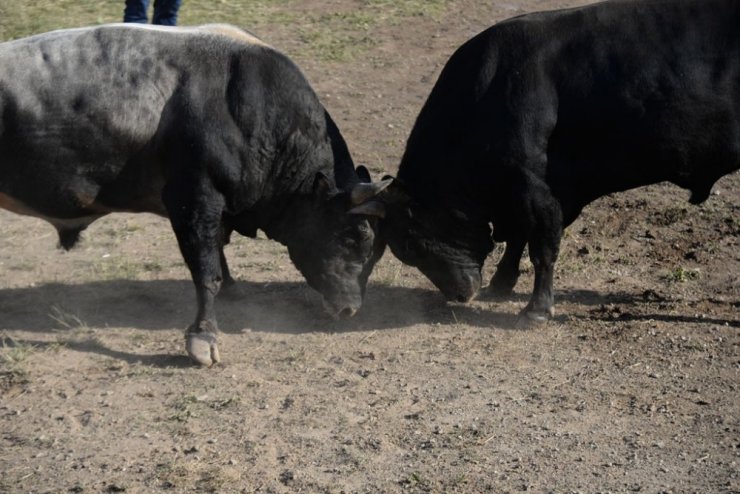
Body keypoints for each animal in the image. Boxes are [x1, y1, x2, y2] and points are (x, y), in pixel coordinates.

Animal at [0, 25, 390, 364]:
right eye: (350, 238)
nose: (350, 308)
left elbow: (217, 253)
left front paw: (232, 287)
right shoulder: (193, 200)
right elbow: (205, 271)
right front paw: (203, 336)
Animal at [382, 0, 740, 324]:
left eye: (412, 244)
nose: (458, 295)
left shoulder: (535, 189)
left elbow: (541, 248)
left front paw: (537, 310)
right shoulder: (525, 192)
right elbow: (518, 238)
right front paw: (501, 284)